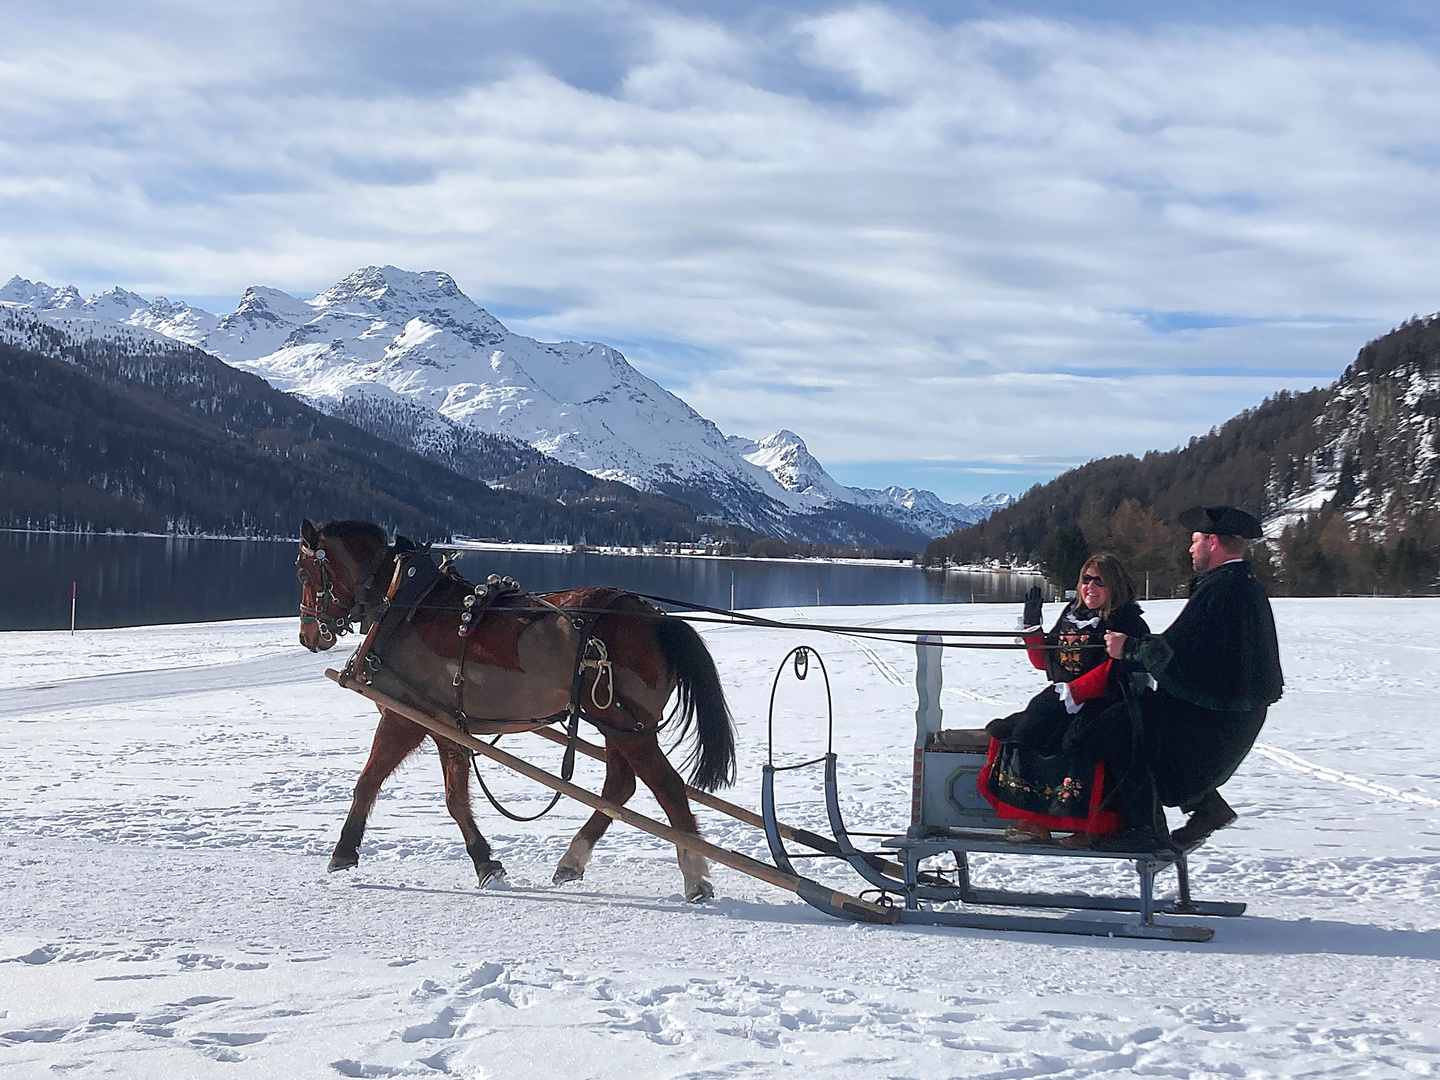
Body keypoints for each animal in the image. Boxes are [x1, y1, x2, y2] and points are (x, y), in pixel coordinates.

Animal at [298, 521, 737, 898]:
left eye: (303, 572)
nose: (307, 636)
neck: (406, 605)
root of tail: (657, 618)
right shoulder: (445, 724)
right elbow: (456, 798)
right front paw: (485, 863)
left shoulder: (403, 717)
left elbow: (369, 781)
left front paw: (343, 851)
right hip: (614, 723)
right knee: (620, 786)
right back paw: (572, 860)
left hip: (625, 725)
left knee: (667, 787)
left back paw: (695, 876)